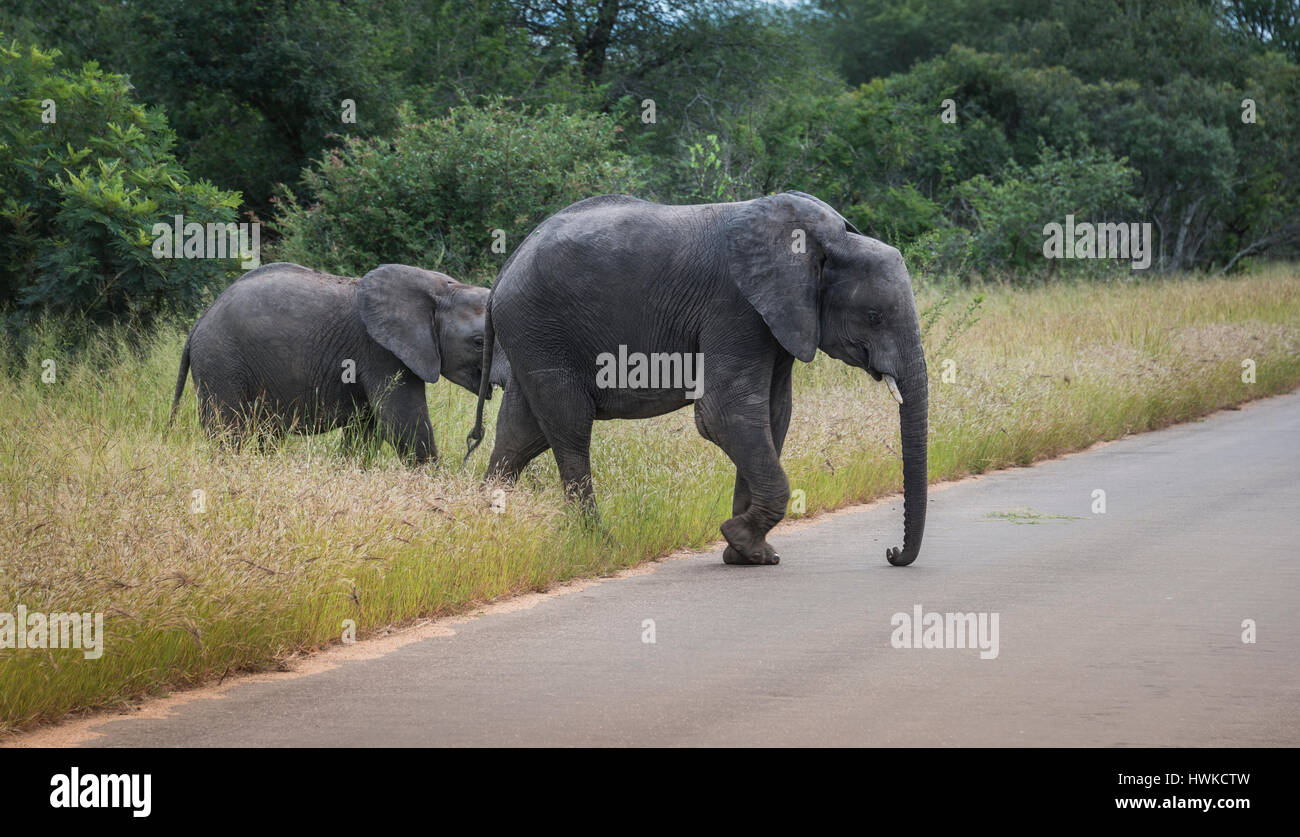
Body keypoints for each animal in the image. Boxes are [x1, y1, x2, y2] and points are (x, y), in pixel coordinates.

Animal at [167, 259, 501, 465]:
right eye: (479, 342)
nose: (473, 441)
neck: (442, 288)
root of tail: (198, 324)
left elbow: (366, 430)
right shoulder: (380, 351)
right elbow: (402, 422)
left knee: (264, 434)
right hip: (221, 363)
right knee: (228, 432)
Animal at [473, 192, 930, 566]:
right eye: (875, 316)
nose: (891, 552)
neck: (829, 241)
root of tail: (505, 269)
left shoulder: (779, 319)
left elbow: (771, 416)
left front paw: (749, 554)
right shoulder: (736, 307)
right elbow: (724, 414)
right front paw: (740, 539)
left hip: (532, 338)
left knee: (519, 437)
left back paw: (487, 525)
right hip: (542, 331)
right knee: (568, 431)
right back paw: (600, 544)